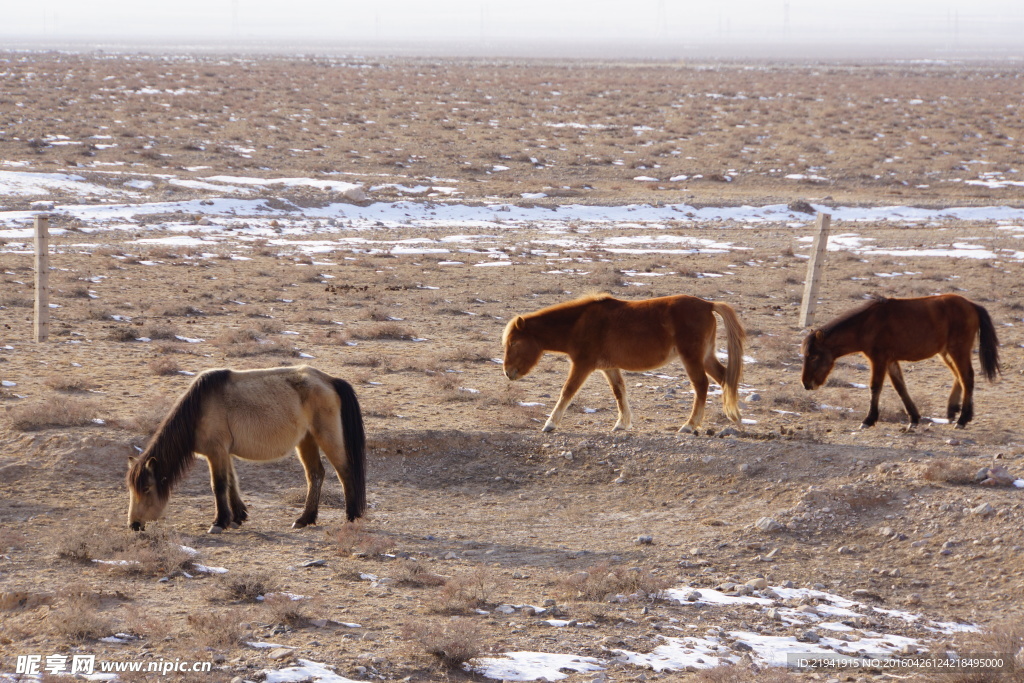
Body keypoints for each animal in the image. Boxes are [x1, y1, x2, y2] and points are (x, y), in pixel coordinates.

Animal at [128, 366, 366, 536]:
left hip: (328, 437)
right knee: (315, 474)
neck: (199, 408)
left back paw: (351, 516)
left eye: (147, 488)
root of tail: (329, 380)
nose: (134, 525)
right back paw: (304, 519)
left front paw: (219, 522)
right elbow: (232, 483)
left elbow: (219, 485)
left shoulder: (216, 452)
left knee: (344, 472)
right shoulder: (224, 453)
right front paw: (237, 517)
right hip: (306, 441)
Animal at [501, 294, 745, 432]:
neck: (579, 323)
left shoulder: (583, 365)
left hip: (692, 358)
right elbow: (619, 391)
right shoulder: (609, 368)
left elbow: (567, 391)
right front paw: (622, 423)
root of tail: (708, 304)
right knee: (724, 378)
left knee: (702, 386)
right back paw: (734, 417)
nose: (508, 372)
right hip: (706, 357)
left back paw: (690, 425)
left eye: (514, 343)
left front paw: (550, 424)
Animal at [798, 294, 999, 432]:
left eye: (813, 356)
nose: (806, 384)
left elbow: (875, 387)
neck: (866, 324)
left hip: (957, 350)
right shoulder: (891, 361)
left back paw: (962, 419)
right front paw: (914, 419)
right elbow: (901, 388)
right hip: (945, 352)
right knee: (959, 376)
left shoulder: (879, 359)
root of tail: (971, 305)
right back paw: (953, 410)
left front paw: (868, 420)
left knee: (967, 377)